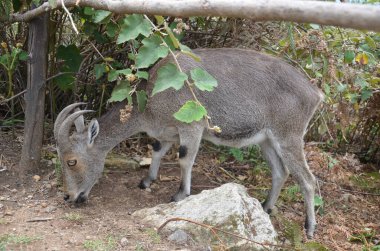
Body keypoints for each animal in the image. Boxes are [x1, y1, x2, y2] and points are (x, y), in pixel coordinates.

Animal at [55, 48, 324, 238]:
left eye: (71, 161)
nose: (69, 196)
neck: (152, 99)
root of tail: (315, 94)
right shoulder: (167, 132)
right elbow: (157, 151)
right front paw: (146, 181)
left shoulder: (191, 126)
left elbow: (184, 158)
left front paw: (180, 194)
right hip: (266, 140)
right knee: (281, 171)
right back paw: (266, 207)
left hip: (289, 135)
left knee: (307, 179)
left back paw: (310, 227)